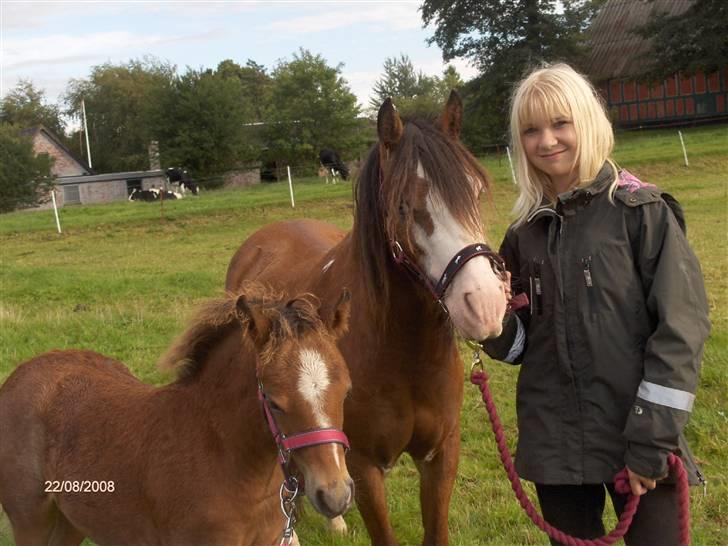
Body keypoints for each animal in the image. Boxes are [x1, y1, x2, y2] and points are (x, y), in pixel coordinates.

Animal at [0, 282, 354, 540]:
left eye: (346, 391)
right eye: (274, 401)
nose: (335, 495)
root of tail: (21, 373)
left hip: (70, 522)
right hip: (30, 521)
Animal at [225, 91, 510, 540]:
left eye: (477, 192)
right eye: (403, 206)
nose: (484, 303)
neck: (401, 353)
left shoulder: (441, 455)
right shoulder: (363, 467)